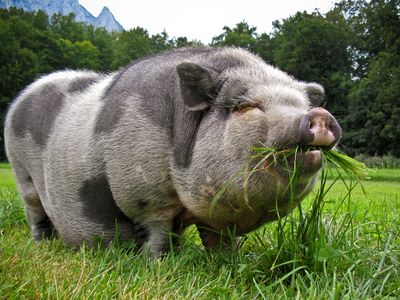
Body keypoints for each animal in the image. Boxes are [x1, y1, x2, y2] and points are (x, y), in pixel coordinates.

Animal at [3, 47, 340, 255]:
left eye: (302, 104)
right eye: (246, 106)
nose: (318, 116)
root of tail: (21, 97)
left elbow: (219, 241)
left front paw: (230, 261)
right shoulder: (146, 195)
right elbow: (158, 232)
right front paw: (160, 264)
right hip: (22, 174)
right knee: (36, 213)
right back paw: (43, 246)